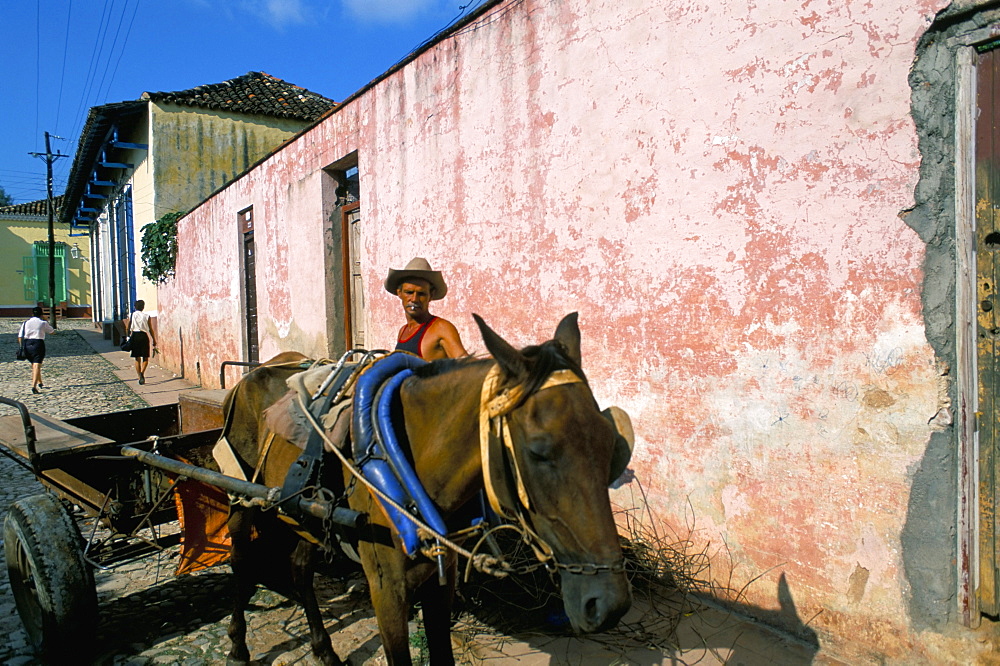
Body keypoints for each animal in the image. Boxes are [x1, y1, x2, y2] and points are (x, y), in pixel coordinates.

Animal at [222, 312, 628, 664]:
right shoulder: (386, 589)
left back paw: (324, 649)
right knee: (241, 562)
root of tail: (254, 373)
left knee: (300, 568)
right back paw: (237, 645)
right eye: (538, 451)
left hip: (305, 516)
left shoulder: (439, 580)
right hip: (242, 499)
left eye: (611, 444)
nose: (608, 605)